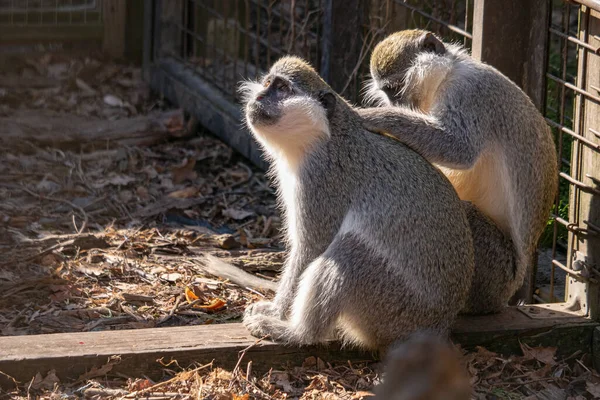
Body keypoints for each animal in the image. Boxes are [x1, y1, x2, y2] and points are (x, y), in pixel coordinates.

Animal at [238, 55, 474, 350]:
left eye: (281, 88)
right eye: (268, 83)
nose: (258, 96)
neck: (323, 137)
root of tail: (439, 325)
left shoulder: (321, 180)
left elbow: (311, 247)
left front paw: (276, 312)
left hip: (394, 305)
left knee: (348, 250)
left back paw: (298, 333)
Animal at [356, 29, 556, 310]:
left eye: (395, 89)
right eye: (387, 92)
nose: (394, 104)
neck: (448, 72)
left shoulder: (468, 92)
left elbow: (458, 148)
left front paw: (373, 117)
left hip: (495, 273)